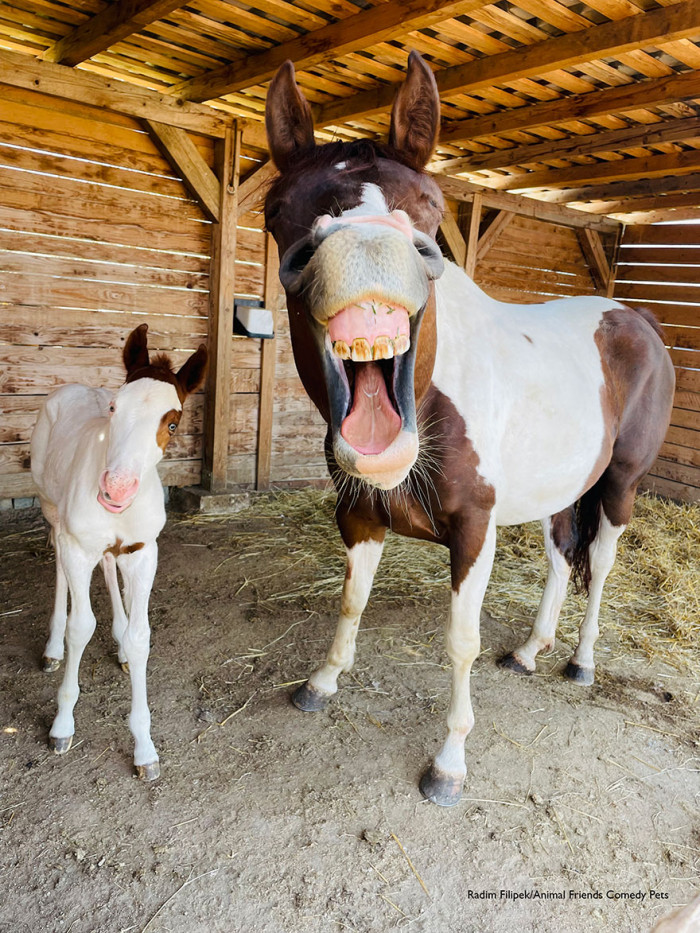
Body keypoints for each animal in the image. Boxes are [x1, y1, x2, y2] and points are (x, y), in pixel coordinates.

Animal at [30, 324, 207, 780]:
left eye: (173, 423)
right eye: (113, 407)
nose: (117, 490)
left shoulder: (144, 552)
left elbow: (142, 635)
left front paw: (145, 748)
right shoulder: (78, 546)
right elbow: (81, 627)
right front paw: (62, 725)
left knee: (109, 565)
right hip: (51, 508)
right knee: (60, 565)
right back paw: (52, 648)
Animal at [263, 52, 675, 808]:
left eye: (431, 205)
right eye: (279, 208)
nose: (365, 252)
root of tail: (636, 318)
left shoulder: (474, 529)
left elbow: (460, 642)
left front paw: (449, 763)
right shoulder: (358, 514)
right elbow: (350, 601)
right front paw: (323, 681)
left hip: (621, 483)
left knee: (599, 564)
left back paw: (580, 660)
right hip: (559, 488)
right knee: (559, 558)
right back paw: (532, 649)